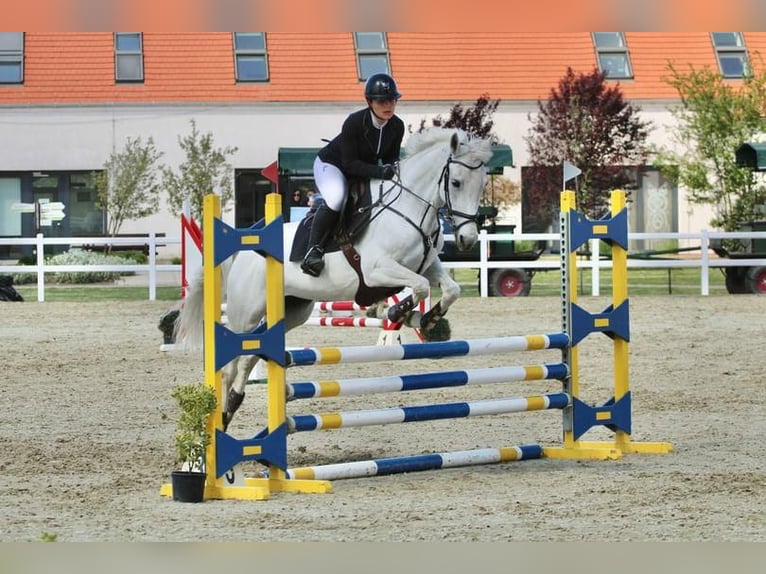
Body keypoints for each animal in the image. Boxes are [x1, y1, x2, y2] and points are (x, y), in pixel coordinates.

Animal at [178, 127, 496, 432]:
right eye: (456, 183)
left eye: (481, 184)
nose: (467, 239)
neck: (410, 209)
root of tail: (245, 245)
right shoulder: (376, 269)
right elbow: (417, 286)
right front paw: (398, 313)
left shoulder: (428, 265)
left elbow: (450, 288)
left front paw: (427, 320)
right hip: (246, 312)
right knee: (232, 363)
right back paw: (220, 416)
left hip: (292, 310)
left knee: (249, 357)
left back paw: (233, 403)